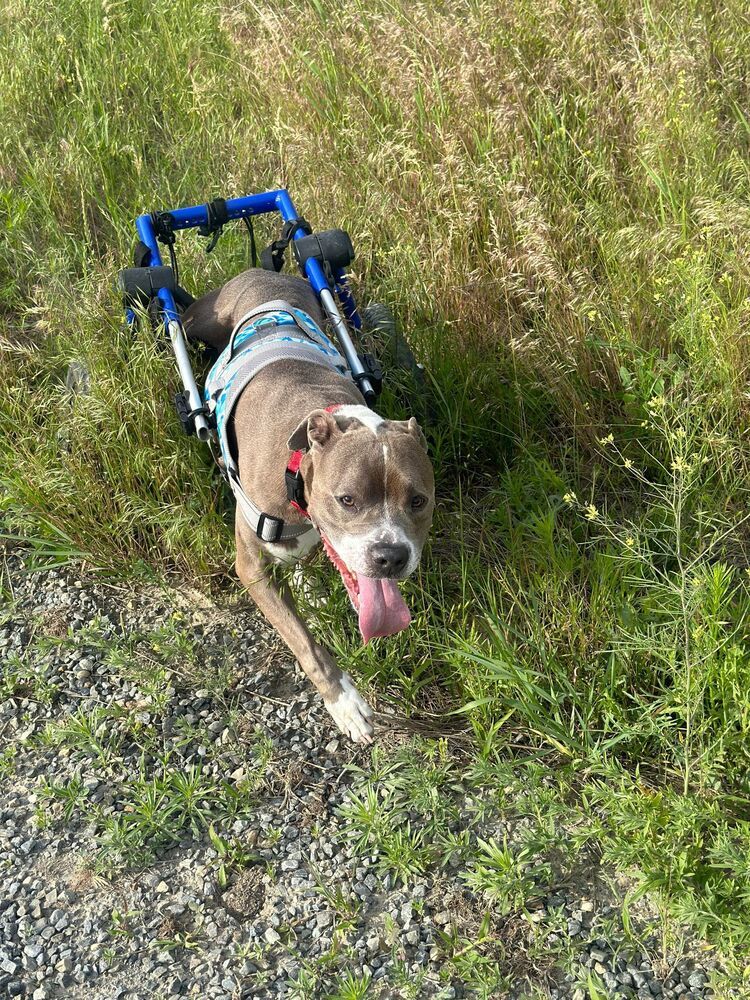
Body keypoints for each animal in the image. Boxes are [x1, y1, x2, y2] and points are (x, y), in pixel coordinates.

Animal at [184, 272, 438, 744]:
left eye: (418, 501)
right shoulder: (252, 567)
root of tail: (260, 271)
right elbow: (305, 643)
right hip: (197, 319)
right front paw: (344, 702)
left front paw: (310, 588)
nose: (390, 556)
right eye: (347, 499)